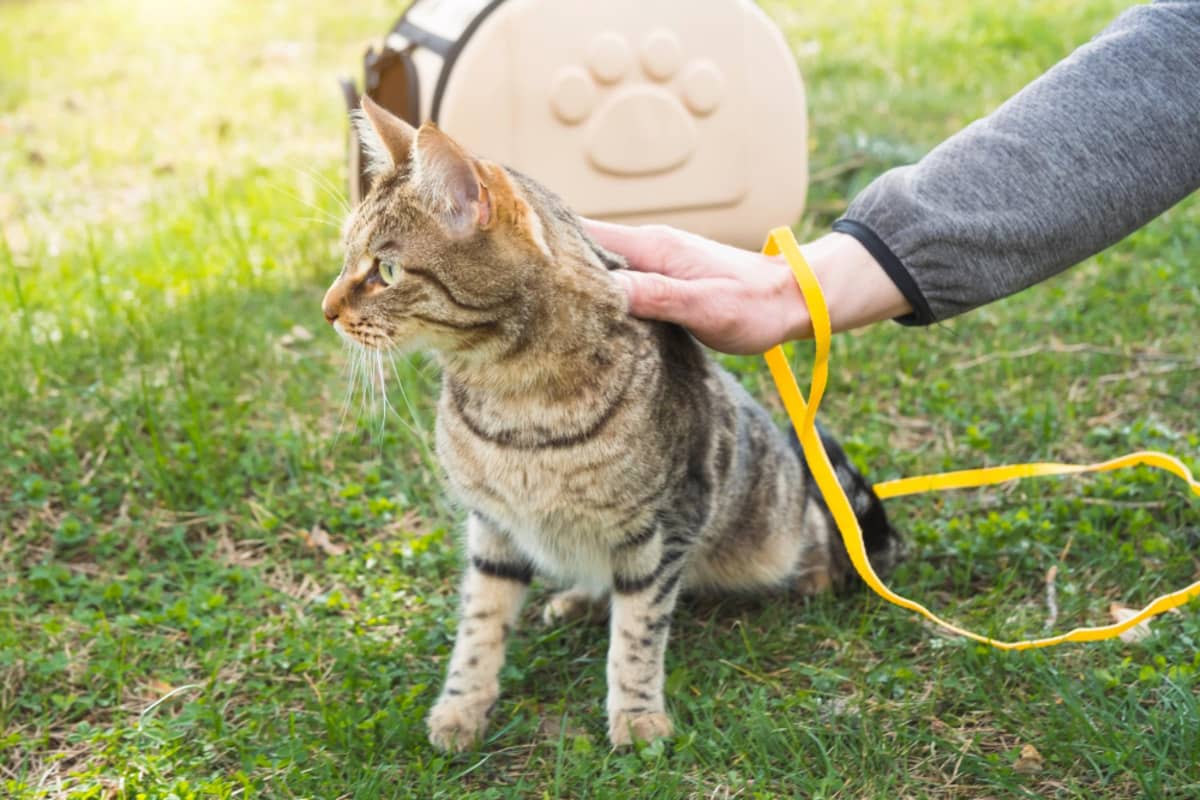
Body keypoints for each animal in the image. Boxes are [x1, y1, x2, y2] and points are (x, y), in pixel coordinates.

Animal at [321, 97, 902, 753]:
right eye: (346, 258)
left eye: (387, 271)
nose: (327, 309)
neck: (513, 403)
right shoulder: (493, 528)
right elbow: (479, 626)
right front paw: (462, 708)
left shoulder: (664, 526)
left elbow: (638, 633)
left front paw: (637, 716)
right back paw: (579, 599)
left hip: (775, 521)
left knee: (833, 532)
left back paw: (815, 572)